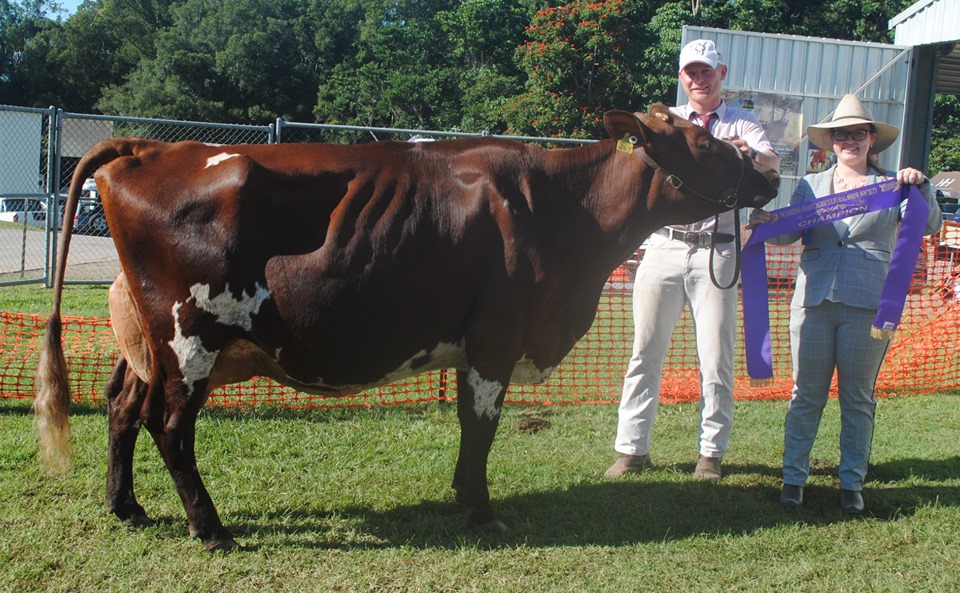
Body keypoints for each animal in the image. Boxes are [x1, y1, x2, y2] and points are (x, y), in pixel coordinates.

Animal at [33, 104, 776, 548]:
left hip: (147, 339)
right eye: (704, 140)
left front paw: (462, 497)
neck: (565, 214)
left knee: (122, 406)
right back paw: (210, 528)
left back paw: (126, 507)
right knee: (169, 426)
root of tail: (152, 146)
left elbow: (472, 429)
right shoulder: (495, 339)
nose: (768, 171)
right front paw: (480, 509)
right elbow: (480, 429)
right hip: (191, 333)